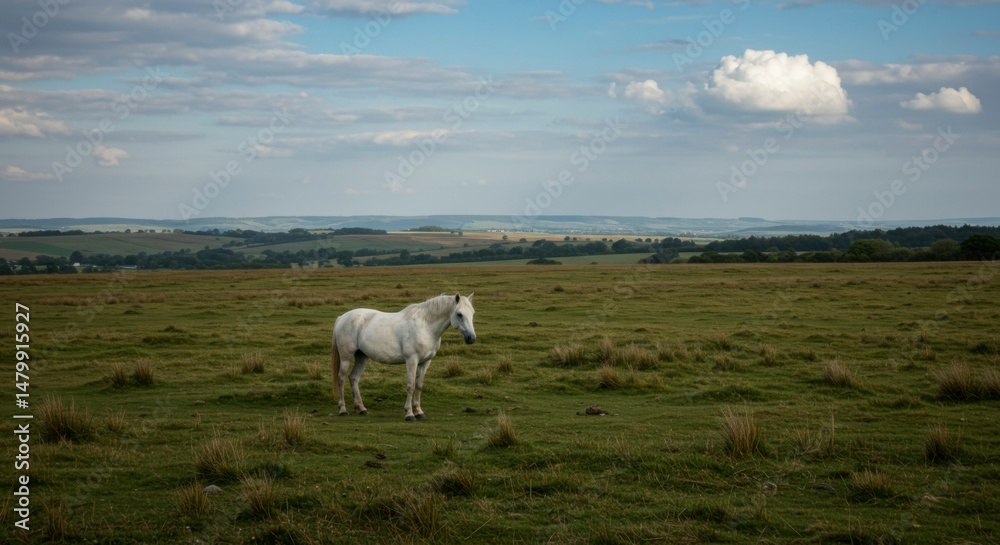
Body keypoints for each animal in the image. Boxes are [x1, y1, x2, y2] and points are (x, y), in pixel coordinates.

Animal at [331, 293, 476, 421]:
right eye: (459, 314)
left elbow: (419, 386)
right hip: (346, 357)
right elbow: (410, 385)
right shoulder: (412, 360)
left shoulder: (425, 362)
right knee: (341, 378)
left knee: (353, 378)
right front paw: (409, 414)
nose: (471, 338)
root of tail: (342, 317)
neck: (425, 327)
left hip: (362, 357)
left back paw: (361, 408)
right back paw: (343, 409)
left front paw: (419, 412)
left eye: (472, 313)